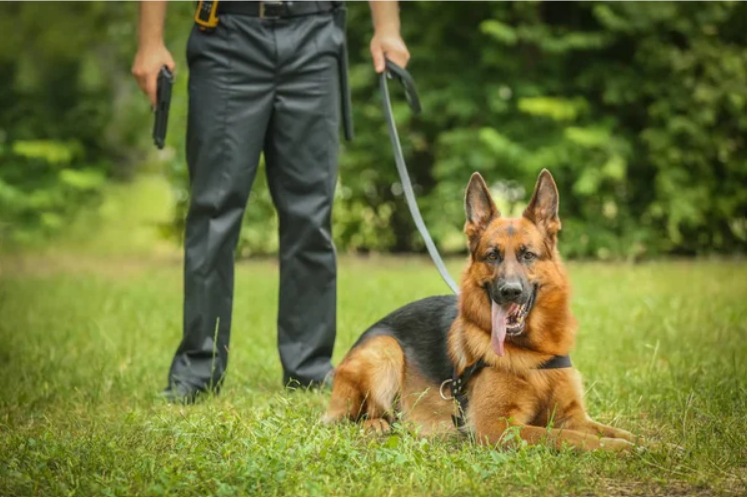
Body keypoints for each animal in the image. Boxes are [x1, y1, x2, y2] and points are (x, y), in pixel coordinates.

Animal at [324, 170, 640, 450]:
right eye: (492, 255)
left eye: (528, 255)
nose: (510, 291)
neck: (532, 353)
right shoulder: (497, 427)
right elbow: (565, 437)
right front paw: (617, 448)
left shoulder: (570, 415)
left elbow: (613, 431)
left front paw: (643, 443)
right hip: (385, 349)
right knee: (355, 416)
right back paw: (376, 424)